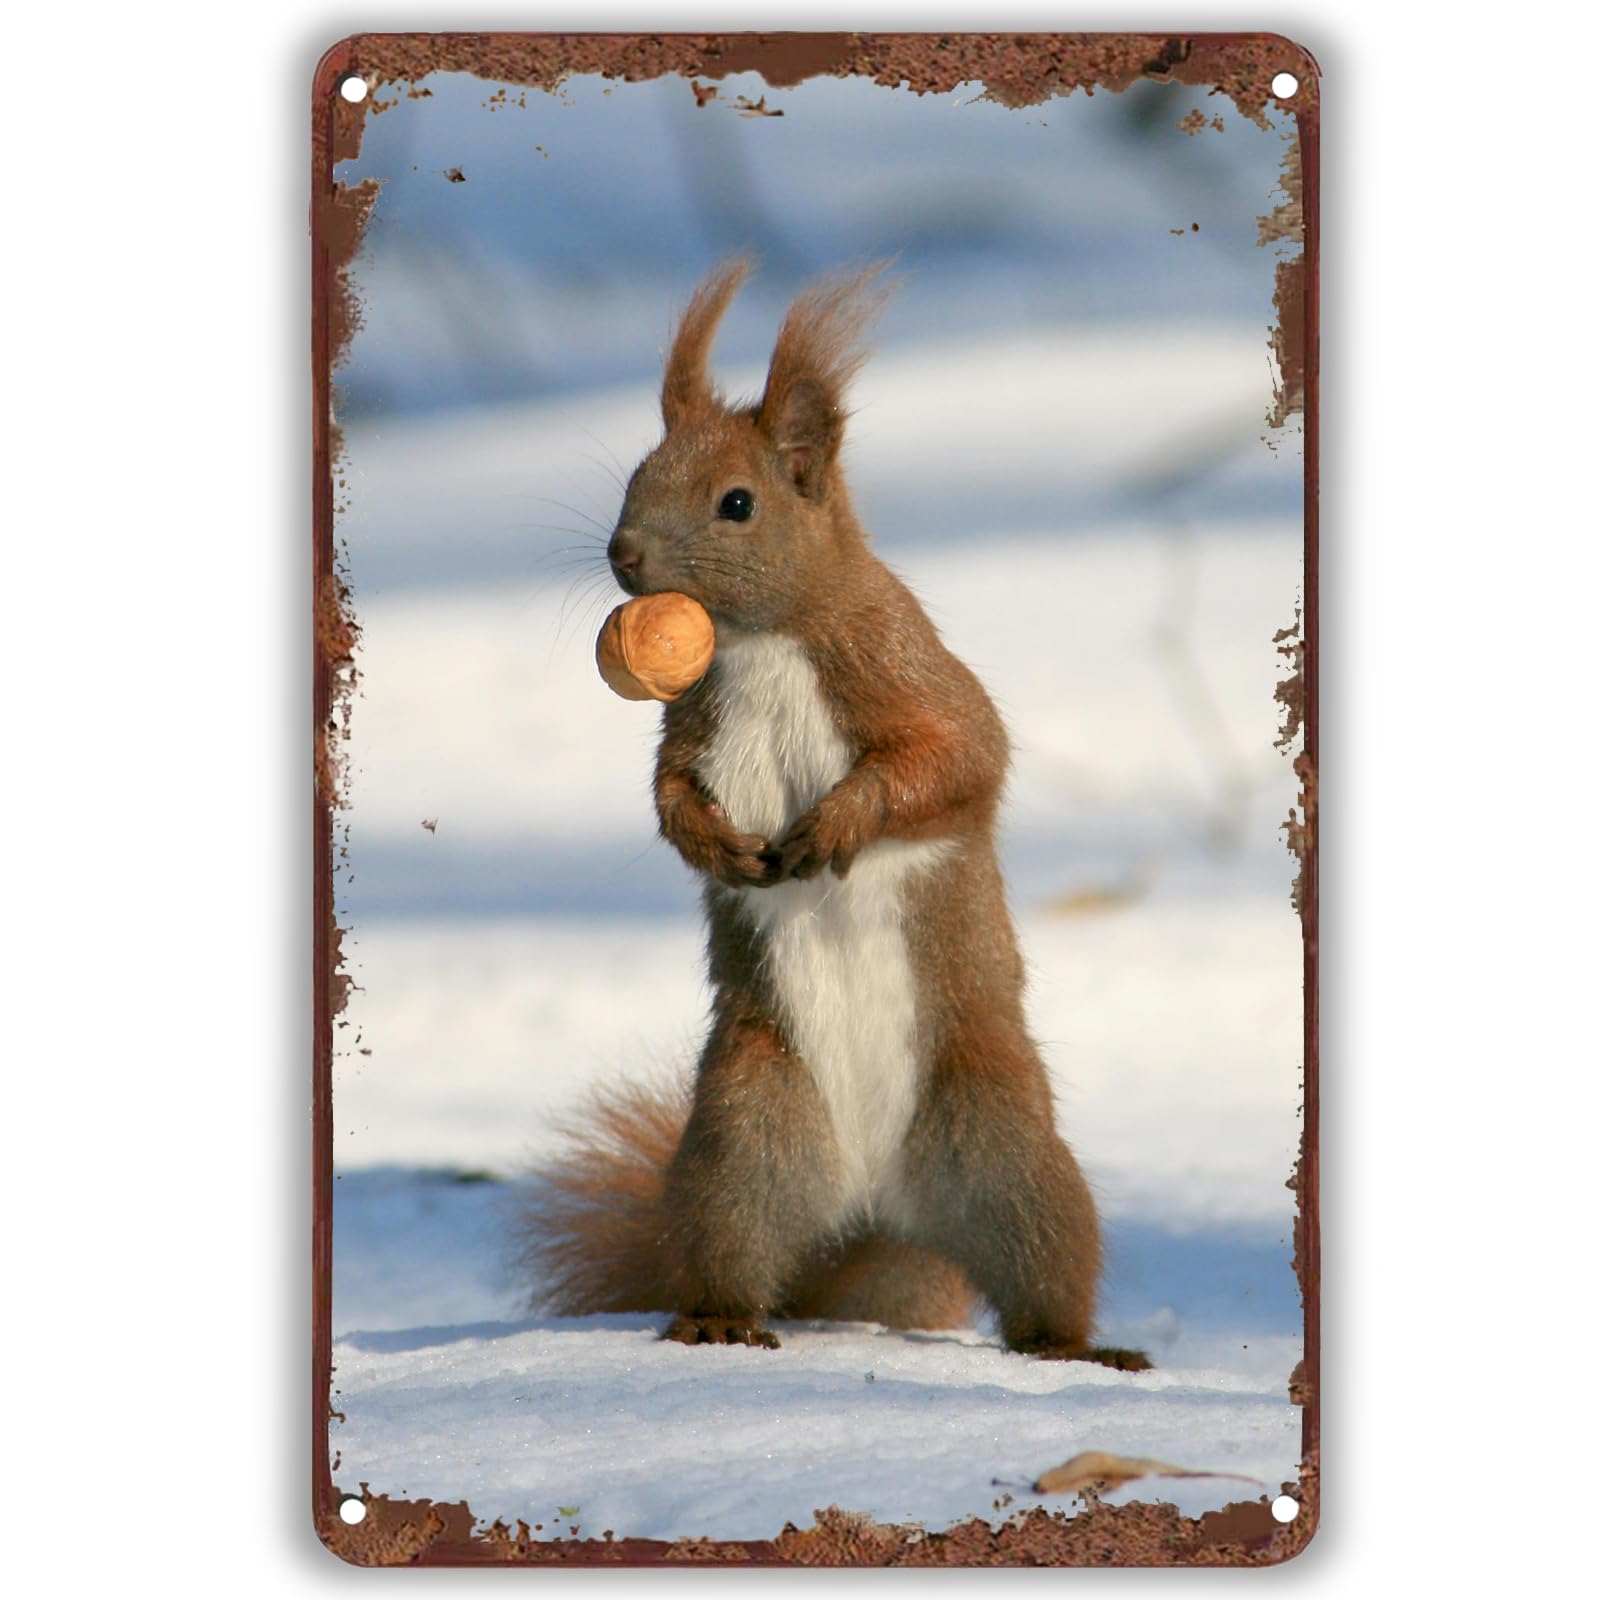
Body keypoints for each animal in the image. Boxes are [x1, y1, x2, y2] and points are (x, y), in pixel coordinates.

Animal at [515, 259, 1149, 1370]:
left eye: (737, 502)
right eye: (637, 473)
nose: (623, 555)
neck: (762, 640)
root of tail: (869, 1212)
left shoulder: (904, 669)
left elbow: (958, 759)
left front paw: (840, 824)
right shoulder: (691, 724)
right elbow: (669, 793)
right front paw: (716, 844)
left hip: (1002, 1146)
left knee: (1043, 1262)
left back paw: (1075, 1349)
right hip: (744, 1134)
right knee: (731, 1243)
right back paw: (718, 1319)